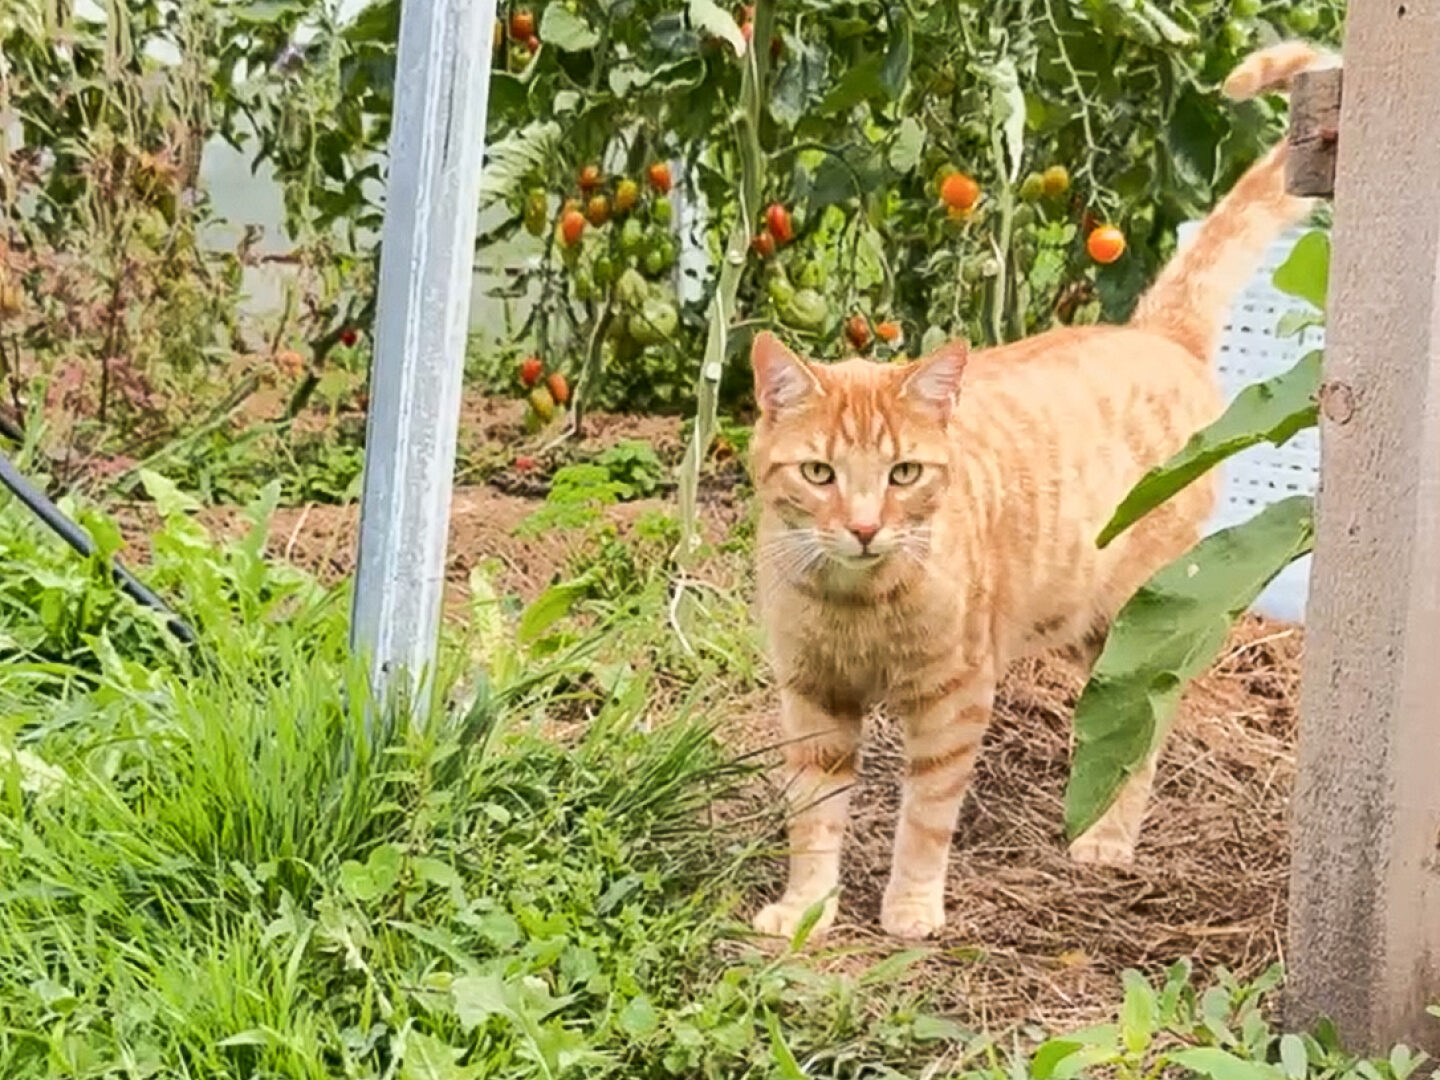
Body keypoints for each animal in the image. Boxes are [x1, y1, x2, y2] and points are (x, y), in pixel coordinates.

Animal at [748, 39, 1337, 942]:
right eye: (820, 474)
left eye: (903, 474)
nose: (864, 527)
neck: (854, 604)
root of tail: (1153, 334)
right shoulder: (812, 701)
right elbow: (812, 816)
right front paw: (805, 907)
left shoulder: (953, 701)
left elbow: (925, 819)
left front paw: (911, 907)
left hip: (1137, 632)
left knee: (1140, 739)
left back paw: (1105, 843)